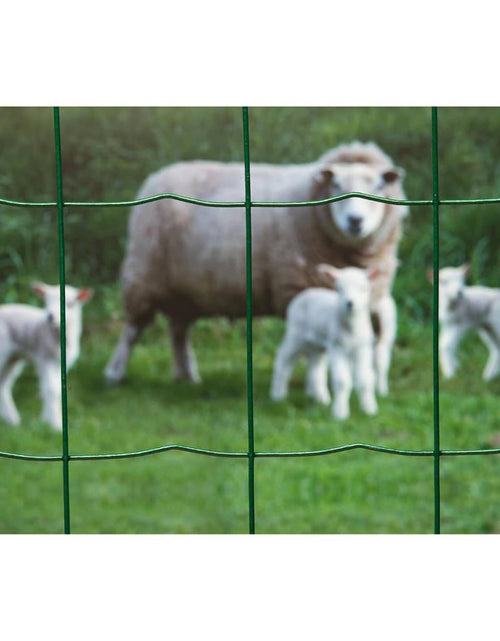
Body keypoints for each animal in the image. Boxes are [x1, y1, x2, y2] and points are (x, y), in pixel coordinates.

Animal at [0, 284, 93, 430]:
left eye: (70, 304)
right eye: (46, 302)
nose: (50, 316)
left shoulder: (61, 362)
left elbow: (58, 388)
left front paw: (47, 419)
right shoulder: (45, 357)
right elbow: (51, 388)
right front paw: (55, 424)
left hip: (12, 358)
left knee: (3, 384)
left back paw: (11, 419)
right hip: (3, 351)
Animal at [104, 140, 406, 396]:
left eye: (379, 188)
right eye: (336, 187)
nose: (355, 221)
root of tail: (158, 175)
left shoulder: (372, 299)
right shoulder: (300, 291)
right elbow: (315, 352)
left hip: (184, 288)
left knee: (179, 331)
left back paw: (186, 376)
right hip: (144, 272)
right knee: (133, 329)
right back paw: (115, 374)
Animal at [272, 264, 376, 420]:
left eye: (364, 288)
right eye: (339, 288)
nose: (350, 303)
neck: (352, 330)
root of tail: (307, 291)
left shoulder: (363, 348)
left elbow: (365, 379)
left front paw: (369, 410)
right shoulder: (337, 346)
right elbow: (342, 381)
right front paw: (340, 414)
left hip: (318, 344)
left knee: (315, 366)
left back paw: (320, 398)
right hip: (296, 333)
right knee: (284, 357)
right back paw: (277, 395)